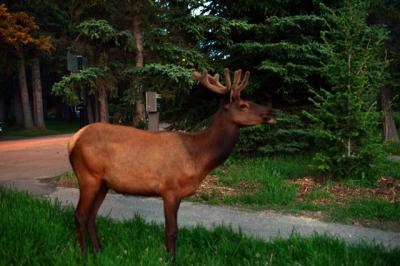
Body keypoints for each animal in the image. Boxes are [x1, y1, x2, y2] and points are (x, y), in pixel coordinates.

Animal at [68, 67, 276, 260]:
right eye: (243, 105)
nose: (272, 112)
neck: (198, 157)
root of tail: (73, 141)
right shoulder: (169, 189)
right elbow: (171, 231)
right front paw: (171, 258)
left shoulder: (179, 193)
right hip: (88, 177)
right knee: (80, 215)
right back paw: (84, 254)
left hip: (103, 183)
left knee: (91, 216)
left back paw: (98, 251)